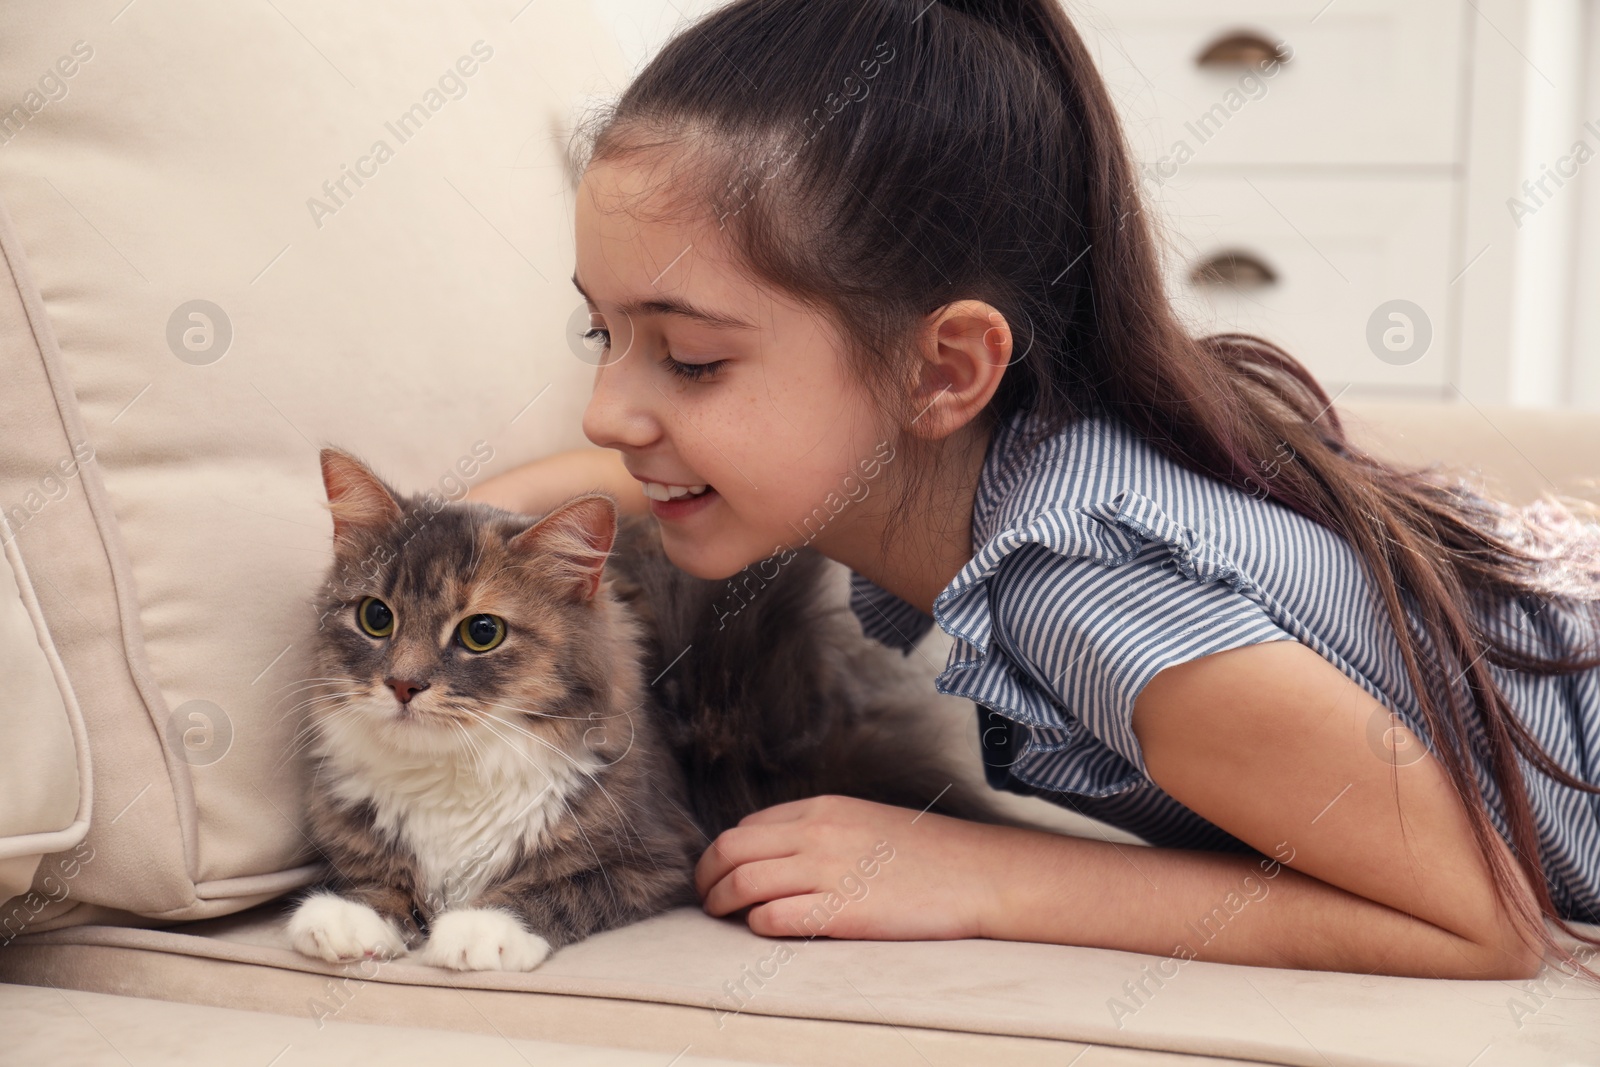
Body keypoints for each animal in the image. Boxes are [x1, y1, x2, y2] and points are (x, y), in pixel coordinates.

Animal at [284, 447, 998, 972]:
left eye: (481, 632)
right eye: (376, 618)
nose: (403, 685)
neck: (452, 773)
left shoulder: (659, 858)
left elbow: (560, 888)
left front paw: (480, 929)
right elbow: (372, 877)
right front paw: (348, 917)